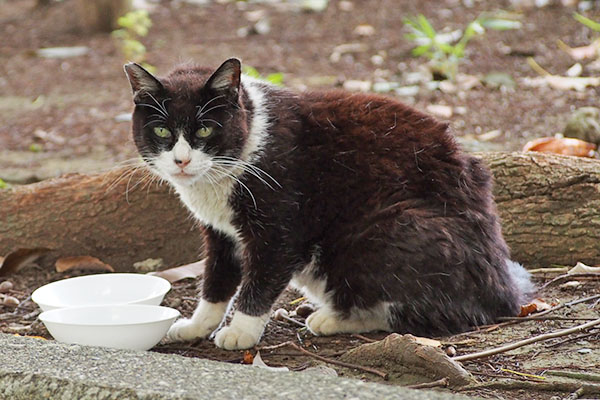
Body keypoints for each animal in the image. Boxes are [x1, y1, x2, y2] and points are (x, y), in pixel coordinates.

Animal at [123, 57, 536, 348]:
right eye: (162, 130)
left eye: (206, 129)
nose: (181, 160)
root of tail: (505, 291)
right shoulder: (220, 232)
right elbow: (216, 280)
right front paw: (197, 325)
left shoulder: (280, 224)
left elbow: (261, 279)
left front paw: (241, 331)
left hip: (393, 228)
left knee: (436, 312)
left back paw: (335, 319)